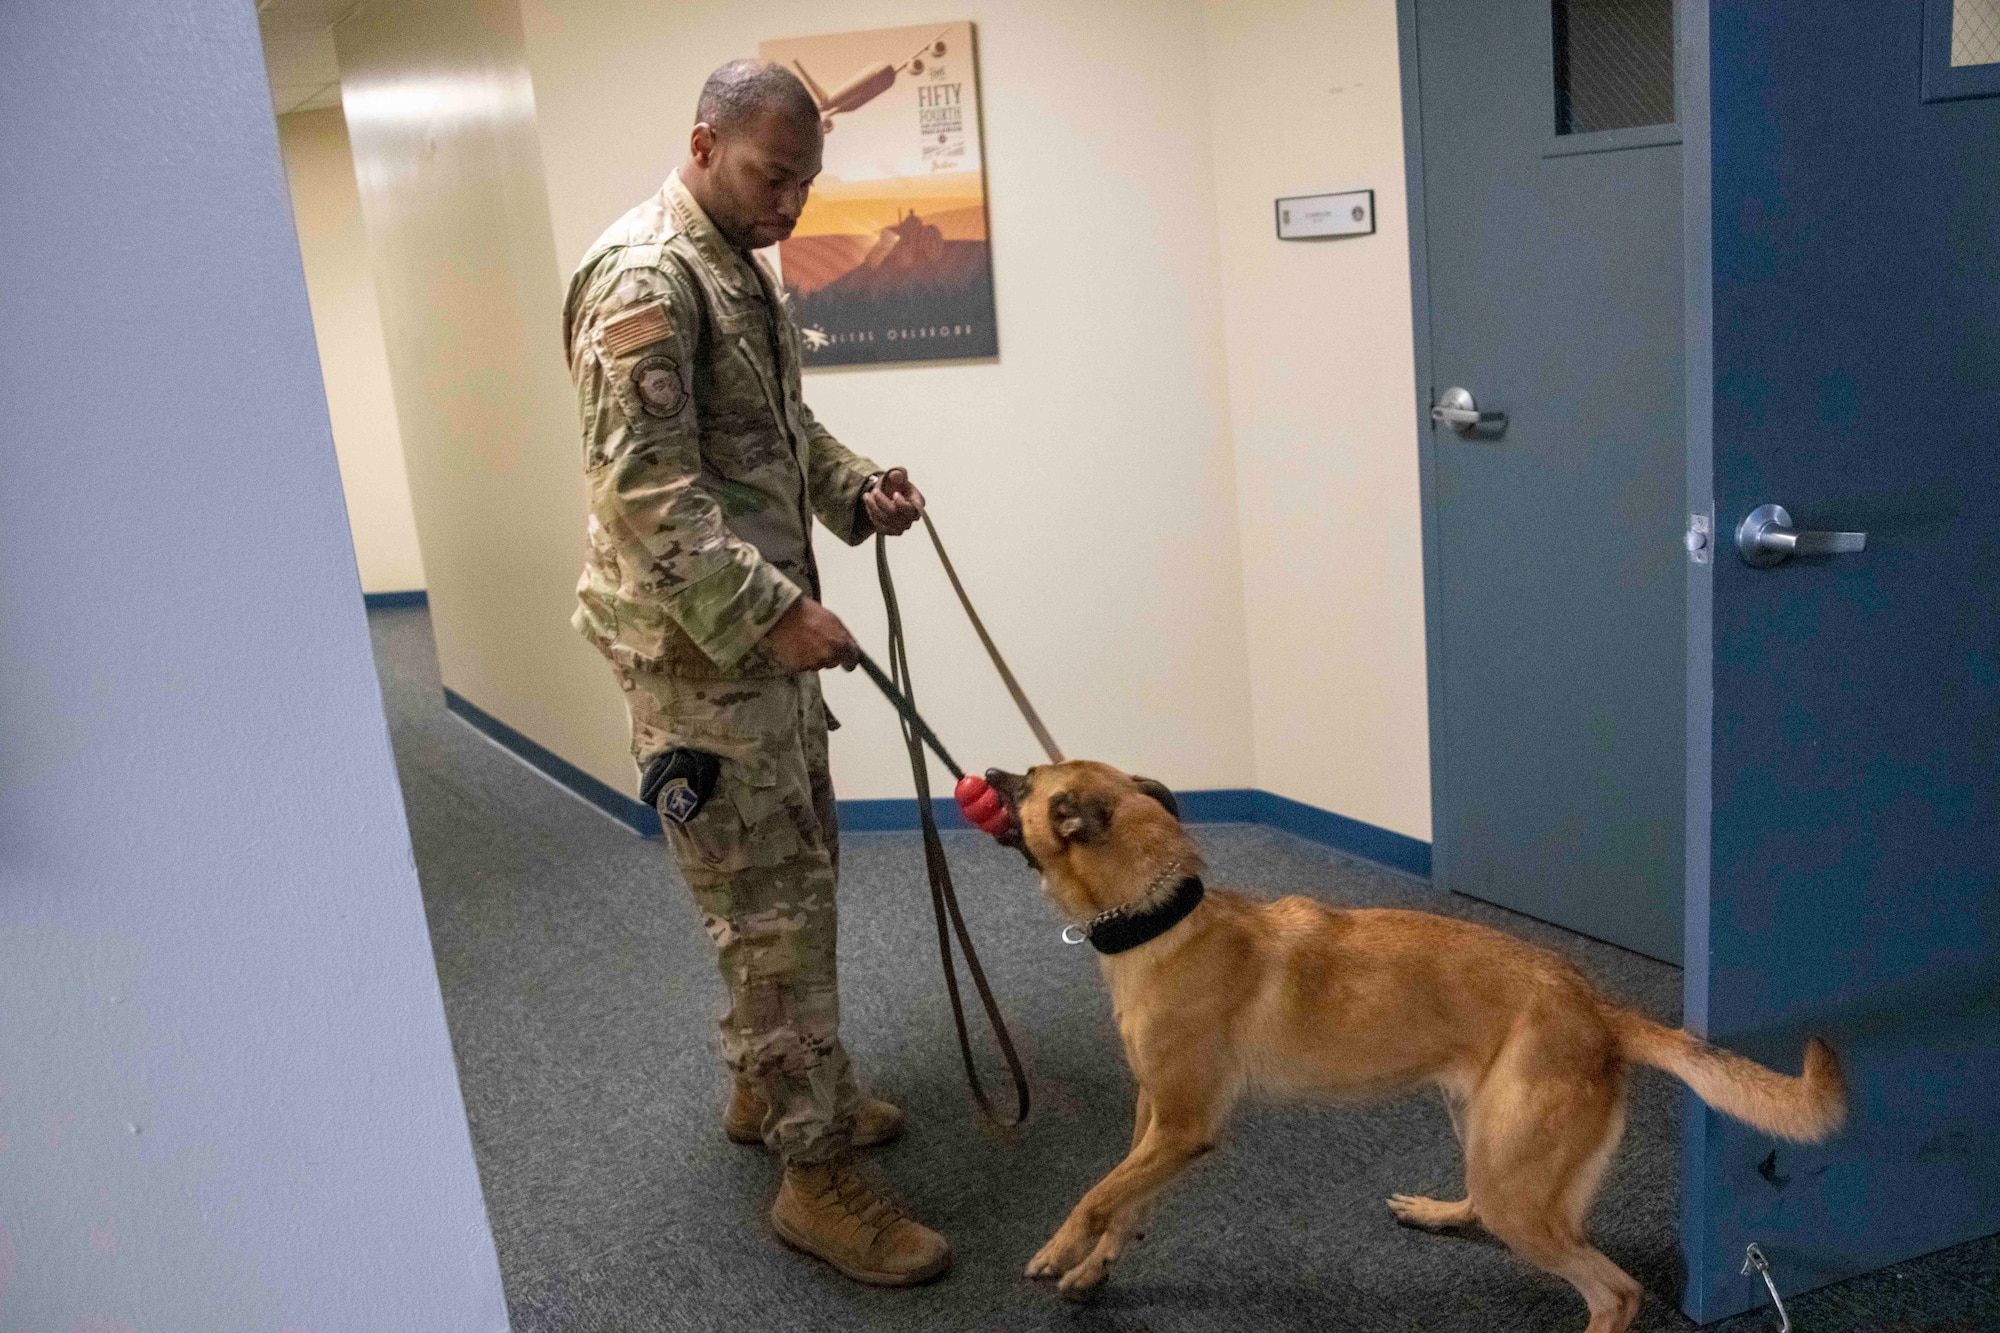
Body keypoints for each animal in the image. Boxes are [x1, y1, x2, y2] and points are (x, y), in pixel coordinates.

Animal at [984, 756, 1840, 1328]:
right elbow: (1128, 1198)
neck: (1164, 919)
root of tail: (1600, 1009)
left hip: (1515, 1178)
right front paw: (1095, 1266)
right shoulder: (1160, 1122)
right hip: (1485, 1133)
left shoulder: (1184, 1126)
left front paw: (1058, 1248)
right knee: (1493, 1209)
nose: (987, 769)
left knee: (1616, 1290)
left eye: (1025, 785)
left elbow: (1097, 1192)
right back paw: (1439, 1209)